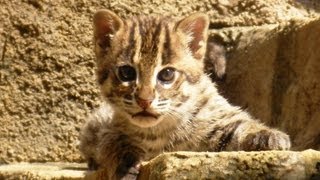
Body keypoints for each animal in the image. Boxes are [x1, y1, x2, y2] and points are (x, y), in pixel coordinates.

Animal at [79, 9, 292, 180]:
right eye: (126, 73)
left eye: (167, 74)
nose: (144, 101)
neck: (160, 129)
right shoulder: (111, 128)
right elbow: (113, 144)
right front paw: (124, 166)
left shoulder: (216, 117)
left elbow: (241, 124)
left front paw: (267, 135)